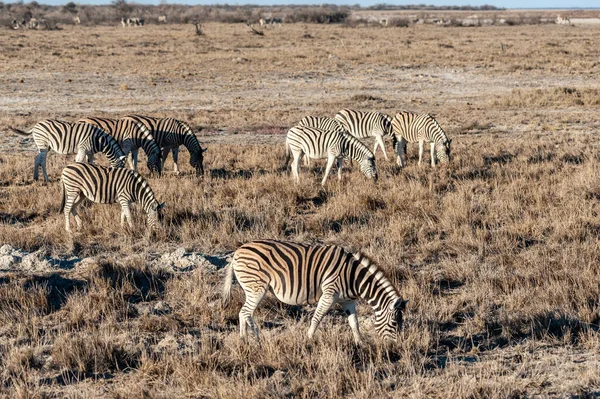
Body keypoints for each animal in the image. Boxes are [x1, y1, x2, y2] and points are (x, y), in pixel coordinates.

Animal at [223, 239, 410, 346]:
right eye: (395, 323)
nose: (396, 348)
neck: (354, 277)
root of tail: (238, 251)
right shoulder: (329, 294)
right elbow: (317, 318)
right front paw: (309, 339)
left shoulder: (347, 300)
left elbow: (354, 323)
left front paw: (360, 344)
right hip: (257, 287)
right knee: (246, 312)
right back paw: (257, 340)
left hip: (252, 288)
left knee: (242, 313)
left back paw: (244, 340)